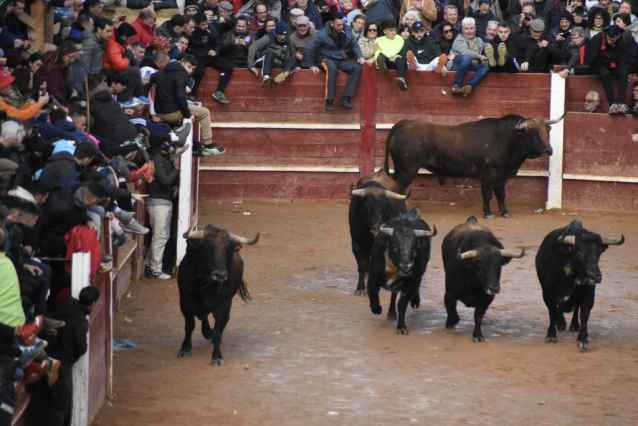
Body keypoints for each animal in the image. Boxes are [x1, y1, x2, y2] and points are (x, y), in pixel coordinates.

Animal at [176, 225, 258, 364]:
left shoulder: (224, 305)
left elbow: (218, 332)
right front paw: (185, 348)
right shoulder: (185, 301)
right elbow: (189, 325)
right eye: (207, 250)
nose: (220, 274)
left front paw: (217, 356)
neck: (204, 283)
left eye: (226, 251)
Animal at [384, 114, 564, 220]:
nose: (548, 150)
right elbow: (487, 195)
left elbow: (501, 195)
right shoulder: (488, 175)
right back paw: (404, 212)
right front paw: (488, 213)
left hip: (400, 168)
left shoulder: (501, 176)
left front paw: (504, 212)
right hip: (408, 169)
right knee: (401, 188)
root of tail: (403, 124)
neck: (507, 139)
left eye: (547, 131)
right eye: (533, 133)